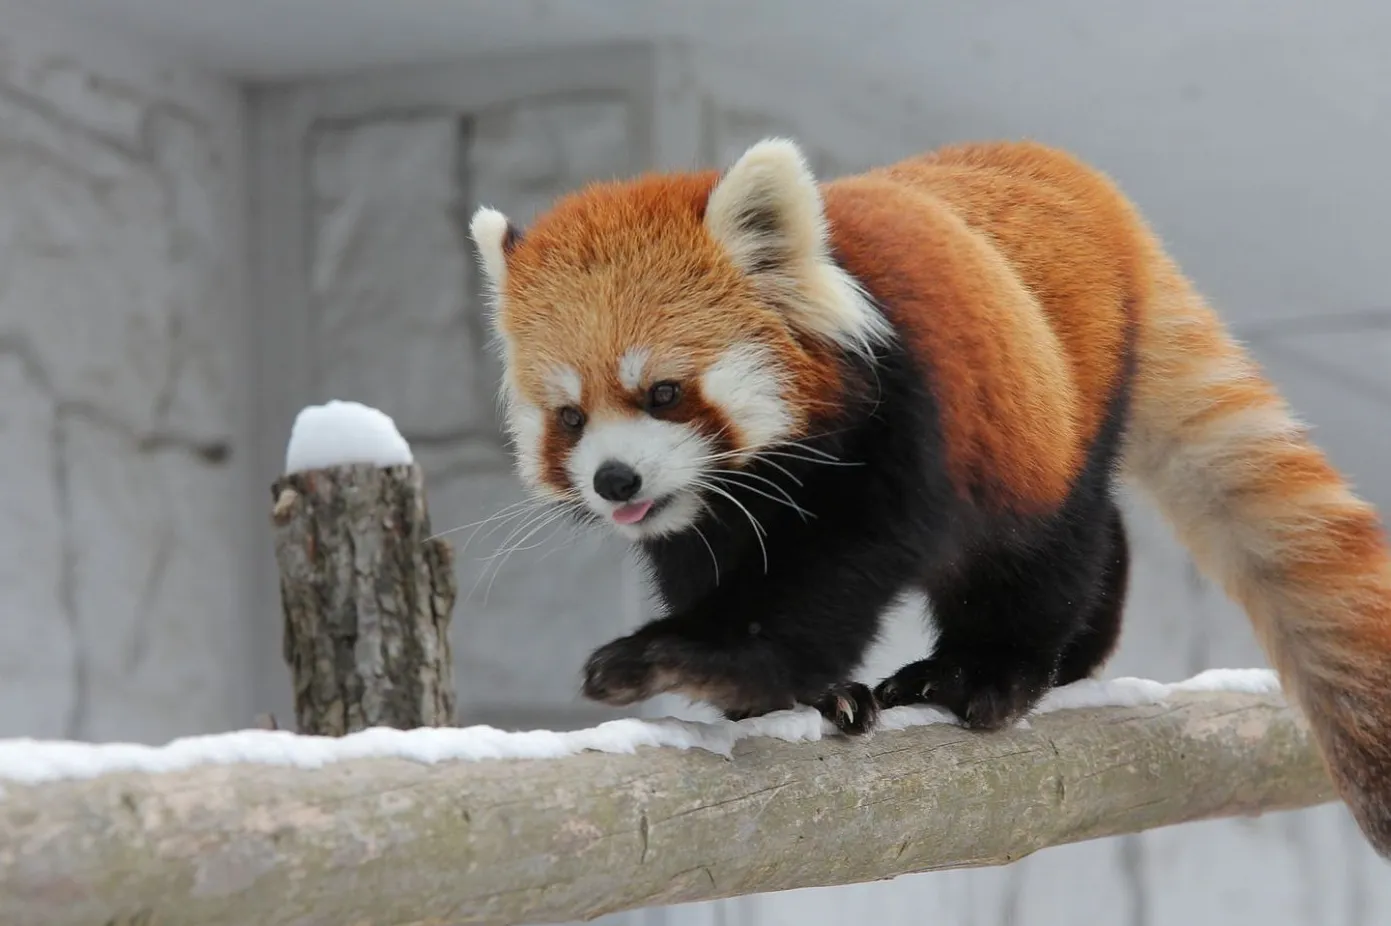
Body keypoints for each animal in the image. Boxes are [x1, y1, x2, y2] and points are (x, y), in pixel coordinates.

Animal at [467, 135, 1391, 850]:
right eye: (569, 418)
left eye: (662, 392)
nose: (614, 480)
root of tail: (1082, 184)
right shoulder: (707, 518)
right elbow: (718, 572)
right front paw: (792, 693)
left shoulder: (903, 423)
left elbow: (825, 580)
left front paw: (694, 660)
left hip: (1047, 408)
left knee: (1044, 547)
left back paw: (989, 670)